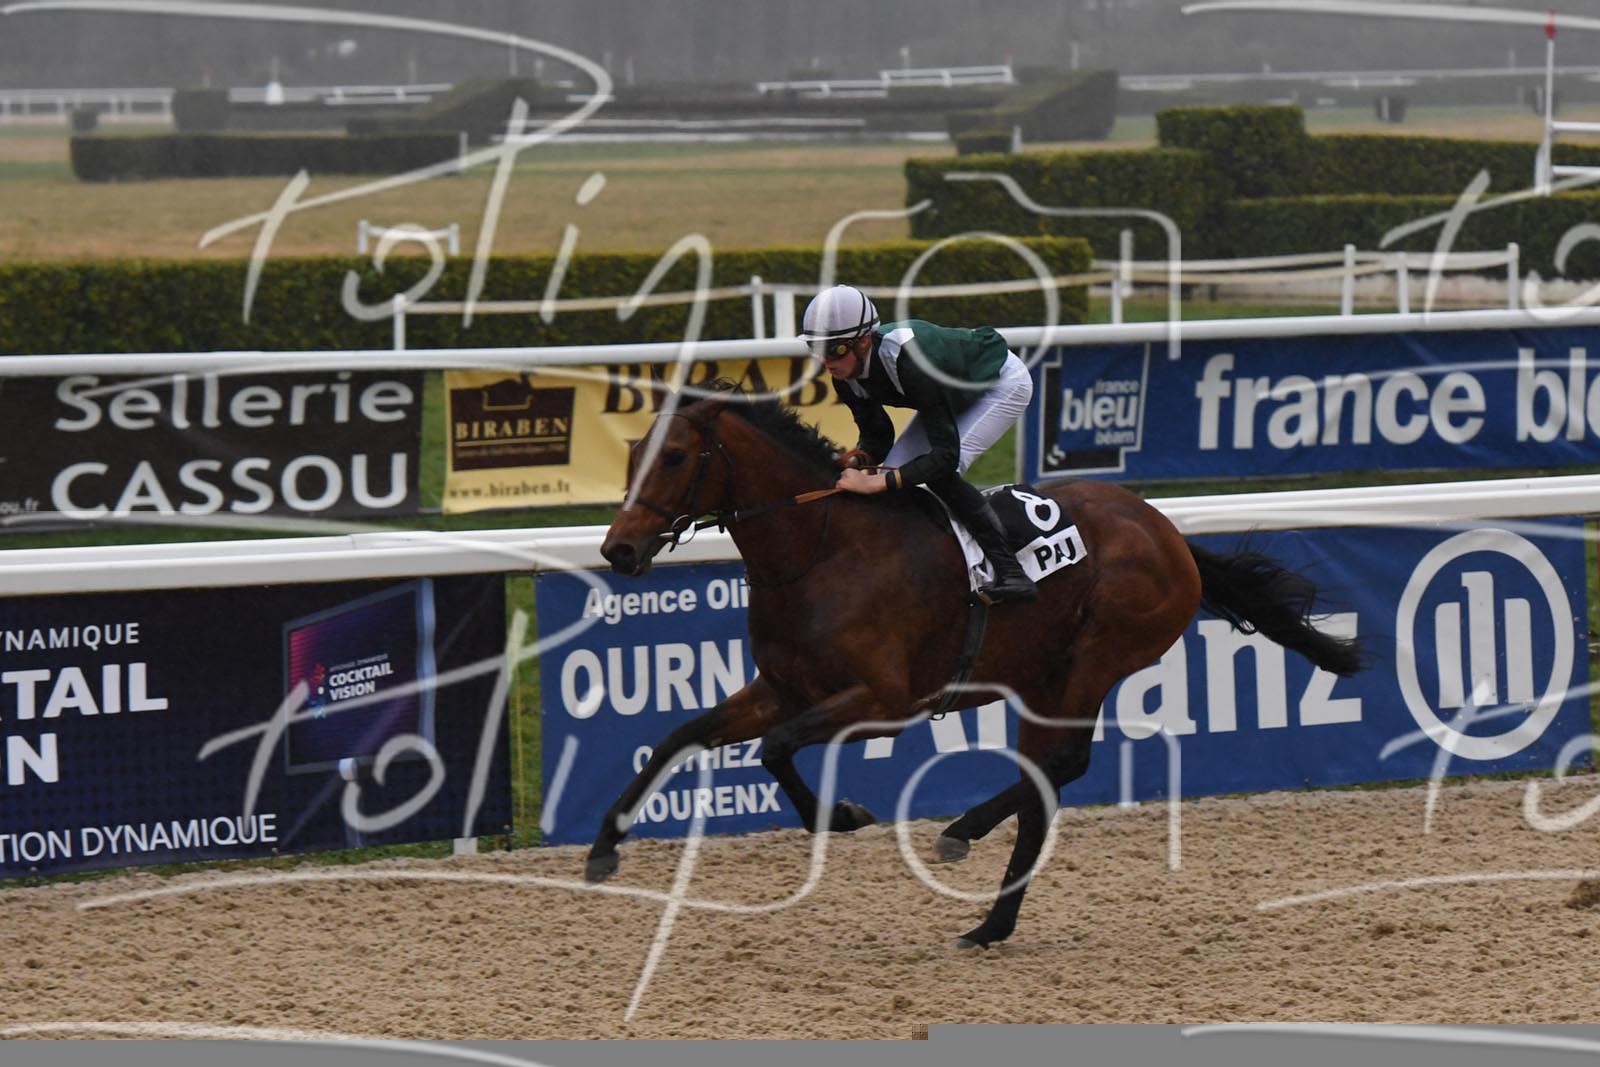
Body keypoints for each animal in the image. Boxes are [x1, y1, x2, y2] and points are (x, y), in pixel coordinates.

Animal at [588, 382, 1367, 949]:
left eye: (676, 457)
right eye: (633, 453)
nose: (618, 550)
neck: (820, 547)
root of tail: (1170, 531)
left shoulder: (884, 701)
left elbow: (776, 748)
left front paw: (841, 814)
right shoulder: (783, 687)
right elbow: (680, 736)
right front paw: (602, 850)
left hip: (1098, 655)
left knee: (1062, 765)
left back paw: (964, 837)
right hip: (1041, 678)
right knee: (1046, 780)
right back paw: (990, 921)